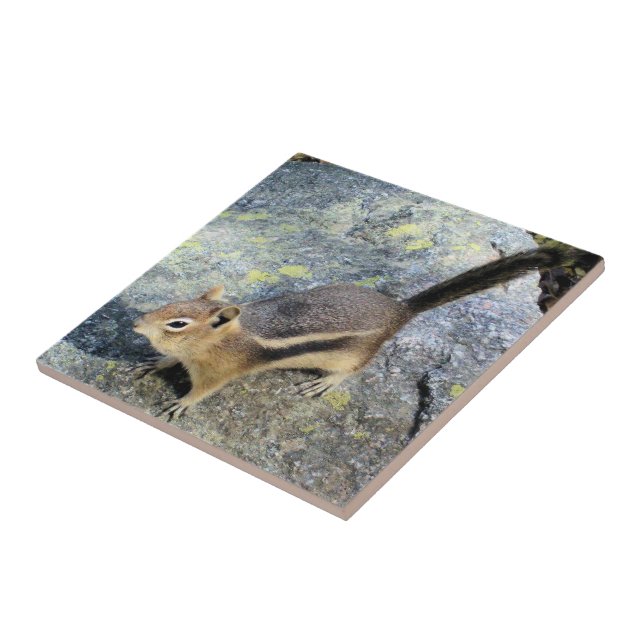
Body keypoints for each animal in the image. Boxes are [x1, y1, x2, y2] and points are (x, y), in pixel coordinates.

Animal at [131, 244, 591, 420]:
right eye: (170, 305)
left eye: (177, 323)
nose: (135, 323)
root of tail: (400, 309)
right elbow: (167, 360)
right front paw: (151, 362)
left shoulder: (219, 371)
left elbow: (203, 390)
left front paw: (182, 404)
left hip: (353, 353)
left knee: (354, 370)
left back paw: (324, 383)